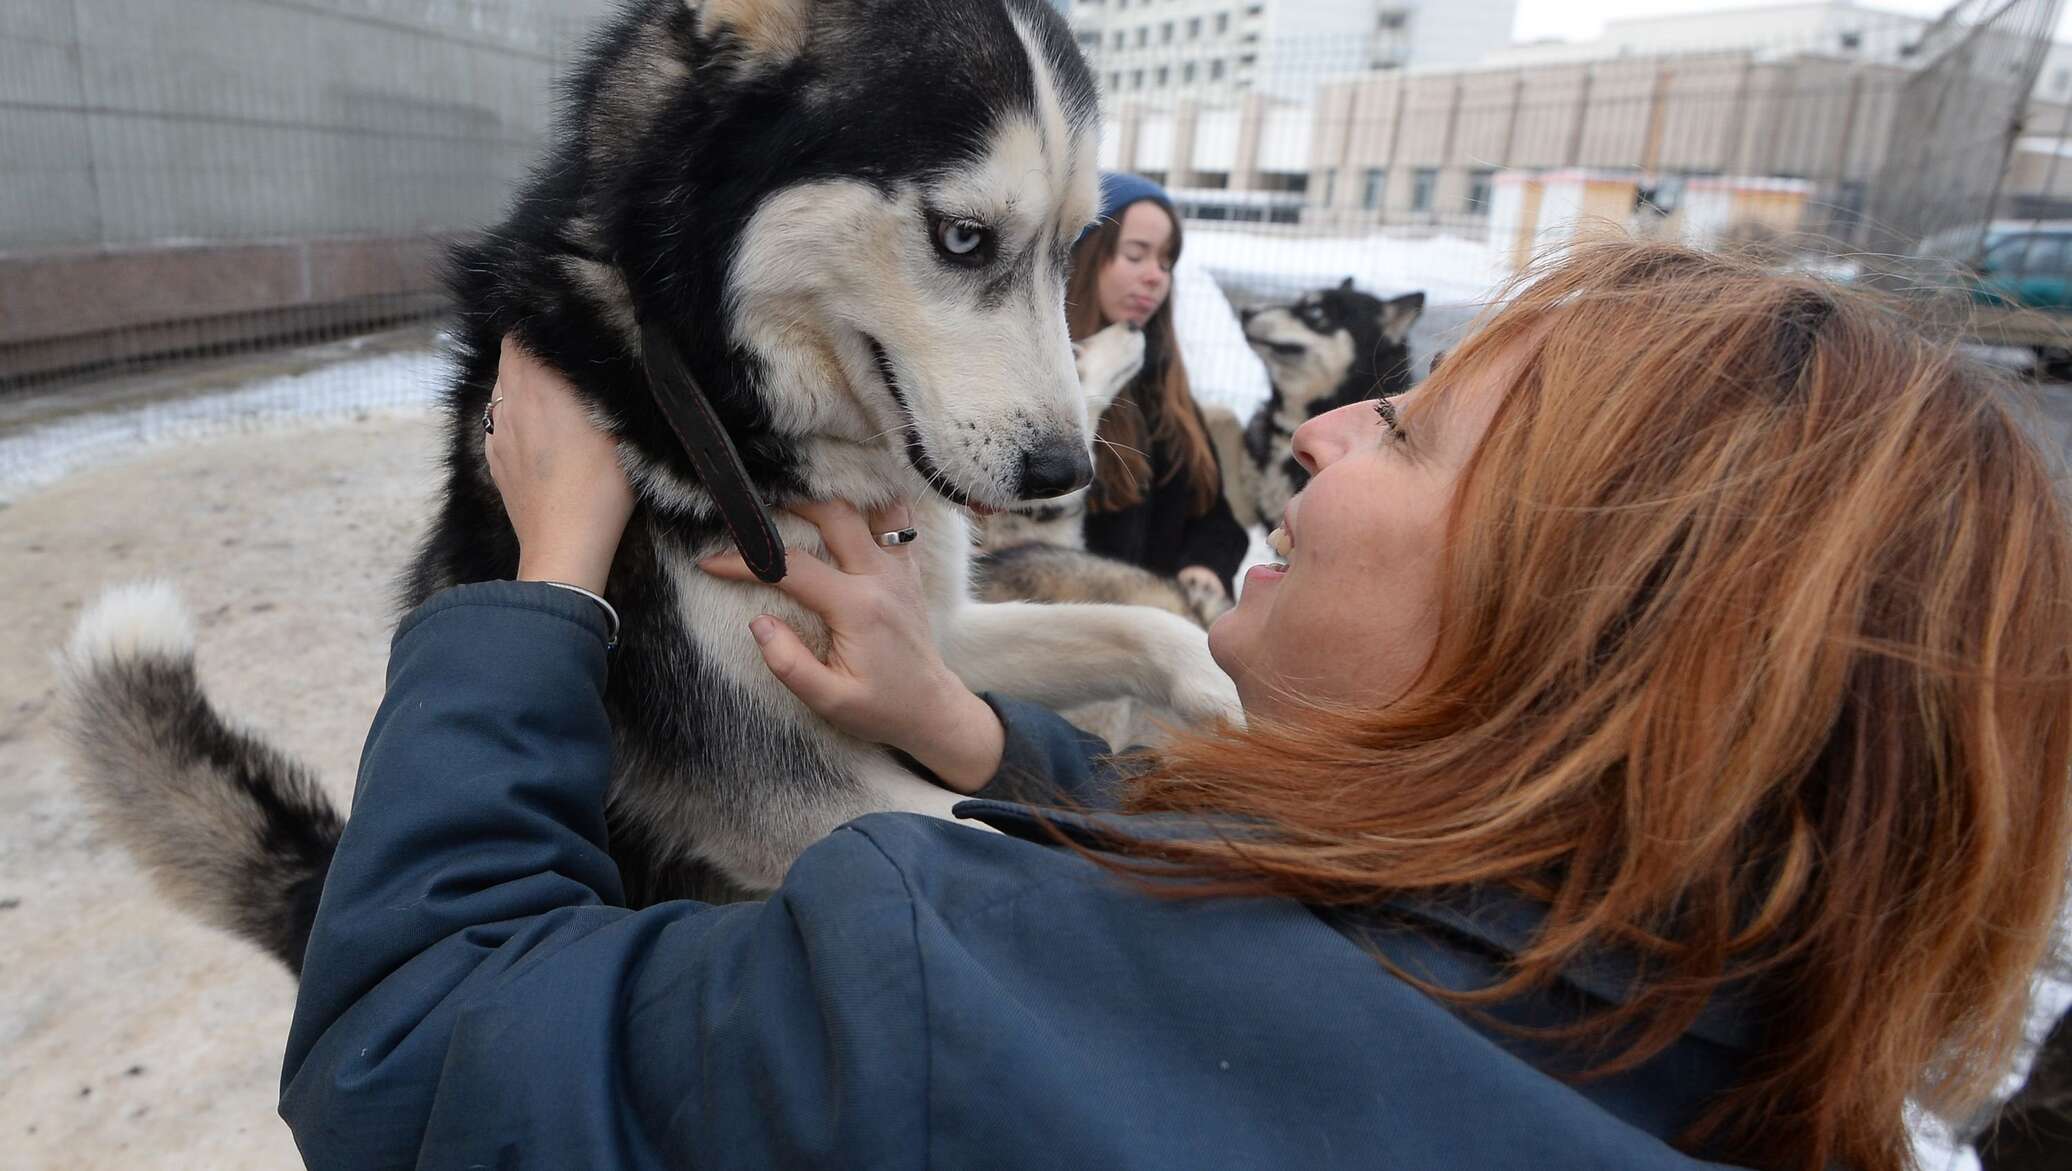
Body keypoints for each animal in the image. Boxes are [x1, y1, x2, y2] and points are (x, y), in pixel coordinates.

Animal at [56, 0, 1234, 969]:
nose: (1064, 470)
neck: (731, 418)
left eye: (1072, 246)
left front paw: (1224, 697)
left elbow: (1135, 628)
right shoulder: (777, 787)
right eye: (961, 235)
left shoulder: (917, 645)